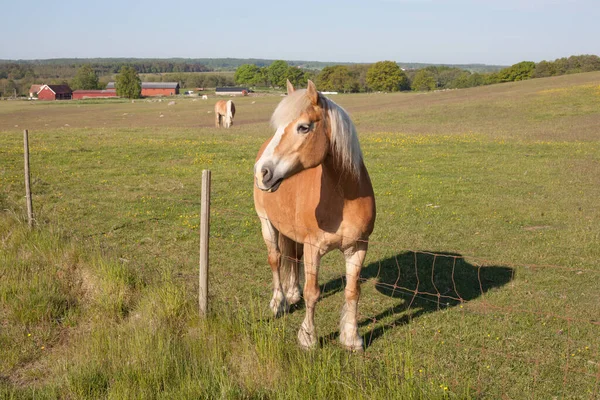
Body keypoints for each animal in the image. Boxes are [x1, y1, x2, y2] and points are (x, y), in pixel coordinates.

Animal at [253, 79, 376, 348]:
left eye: (303, 127)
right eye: (278, 127)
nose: (261, 172)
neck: (344, 197)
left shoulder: (358, 247)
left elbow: (353, 291)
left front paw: (351, 337)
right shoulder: (314, 248)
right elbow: (313, 293)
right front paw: (308, 338)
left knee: (292, 257)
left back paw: (292, 293)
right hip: (266, 222)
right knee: (276, 259)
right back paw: (278, 302)